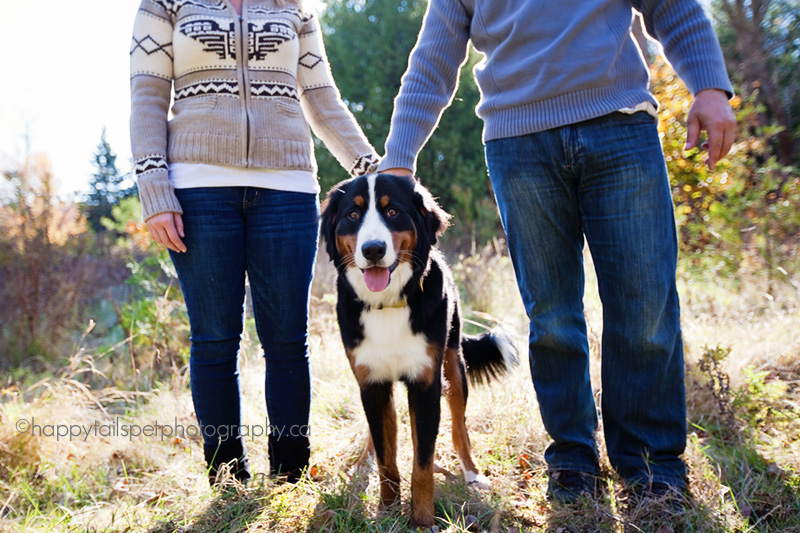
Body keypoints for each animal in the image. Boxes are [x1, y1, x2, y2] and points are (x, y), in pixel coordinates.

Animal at [320, 172, 520, 524]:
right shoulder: (372, 383)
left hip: (454, 366)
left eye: (392, 212)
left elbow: (422, 464)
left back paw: (472, 474)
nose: (373, 250)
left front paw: (423, 520)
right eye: (353, 215)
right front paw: (387, 511)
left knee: (458, 427)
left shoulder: (426, 383)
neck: (388, 304)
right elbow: (386, 458)